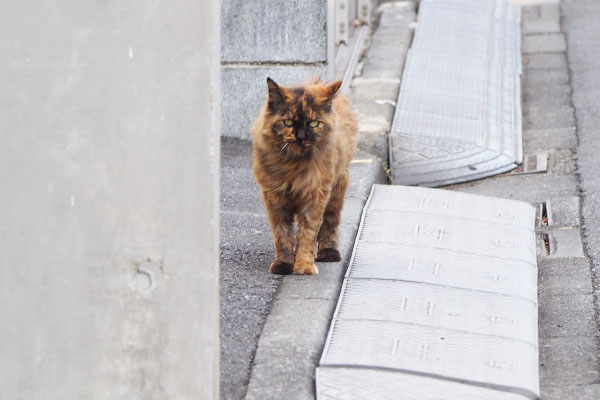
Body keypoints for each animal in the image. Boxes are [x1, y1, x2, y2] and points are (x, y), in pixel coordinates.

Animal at [252, 76, 356, 274]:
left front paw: (304, 266)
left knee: (330, 224)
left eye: (314, 123)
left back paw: (328, 252)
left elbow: (307, 234)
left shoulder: (315, 197)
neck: (294, 166)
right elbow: (282, 236)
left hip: (336, 191)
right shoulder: (275, 199)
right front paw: (283, 264)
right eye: (289, 123)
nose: (300, 136)